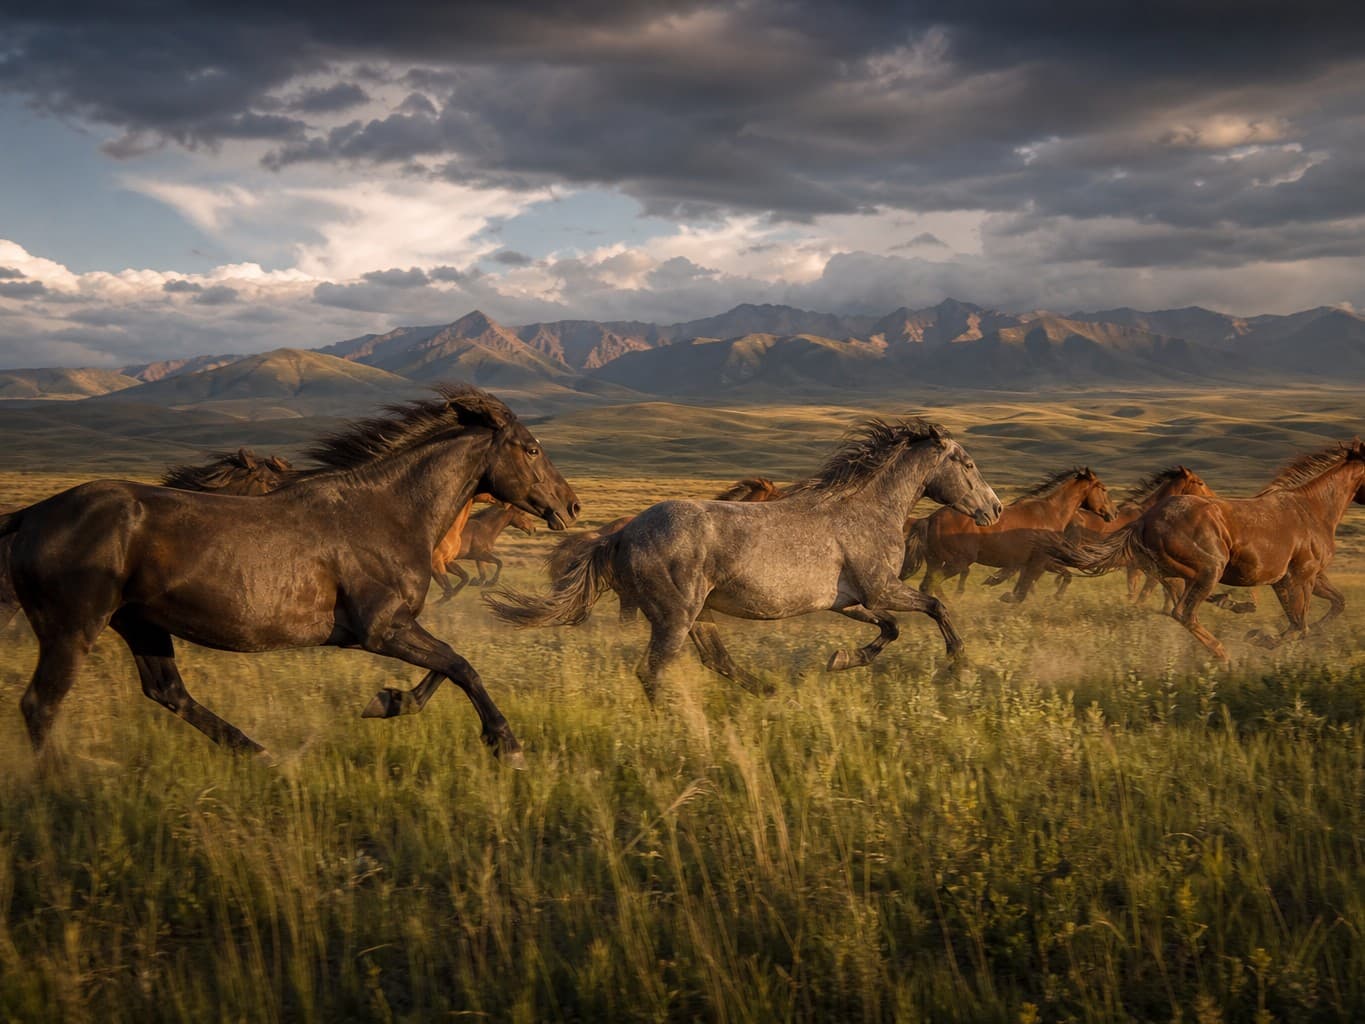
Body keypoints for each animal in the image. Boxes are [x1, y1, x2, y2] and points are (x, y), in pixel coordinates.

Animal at [0, 384, 580, 765]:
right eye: (531, 448)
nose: (570, 506)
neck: (386, 511)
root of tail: (32, 514)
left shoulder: (394, 628)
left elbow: (448, 665)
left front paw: (389, 702)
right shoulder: (381, 629)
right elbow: (461, 665)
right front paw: (507, 745)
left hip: (140, 622)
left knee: (168, 693)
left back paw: (262, 756)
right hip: (73, 629)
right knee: (41, 705)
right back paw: (58, 786)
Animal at [486, 419, 1001, 699]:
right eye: (968, 464)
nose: (994, 509)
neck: (866, 509)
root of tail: (622, 534)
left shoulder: (850, 601)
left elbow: (890, 629)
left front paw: (838, 659)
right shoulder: (881, 589)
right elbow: (936, 607)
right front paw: (959, 664)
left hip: (700, 615)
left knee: (718, 661)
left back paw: (769, 692)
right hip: (676, 617)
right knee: (654, 672)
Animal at [902, 468, 1117, 603]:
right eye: (1104, 489)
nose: (1113, 514)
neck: (1051, 513)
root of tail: (930, 519)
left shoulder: (1040, 562)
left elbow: (1064, 576)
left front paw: (1052, 598)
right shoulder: (1038, 562)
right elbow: (1021, 592)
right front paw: (1007, 598)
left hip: (936, 561)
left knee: (928, 585)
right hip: (957, 562)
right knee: (930, 585)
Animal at [1046, 440, 1365, 661]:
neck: (1314, 508)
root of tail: (1144, 520)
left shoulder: (1305, 578)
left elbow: (1335, 605)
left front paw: (1262, 634)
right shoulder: (1299, 577)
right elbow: (1300, 625)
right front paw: (1260, 639)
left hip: (1176, 573)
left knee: (1176, 607)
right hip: (1208, 570)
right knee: (1183, 612)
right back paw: (1222, 654)